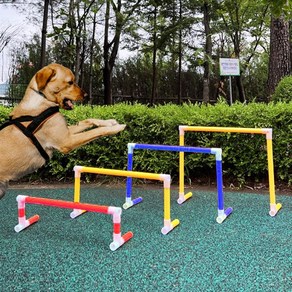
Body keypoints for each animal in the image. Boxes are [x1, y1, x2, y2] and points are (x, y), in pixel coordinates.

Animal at [0, 62, 125, 197]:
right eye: (70, 82)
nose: (86, 96)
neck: (42, 100)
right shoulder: (66, 141)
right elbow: (95, 131)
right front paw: (117, 128)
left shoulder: (66, 132)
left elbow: (88, 120)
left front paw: (110, 122)